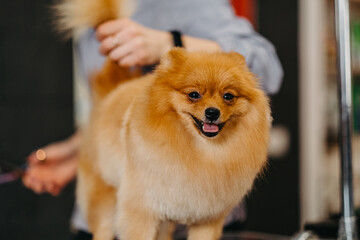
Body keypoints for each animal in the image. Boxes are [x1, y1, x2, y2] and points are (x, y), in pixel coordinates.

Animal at [55, 0, 270, 239]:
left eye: (228, 96)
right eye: (194, 94)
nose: (212, 112)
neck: (202, 151)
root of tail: (112, 91)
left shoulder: (207, 218)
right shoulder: (141, 209)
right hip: (104, 192)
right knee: (103, 227)